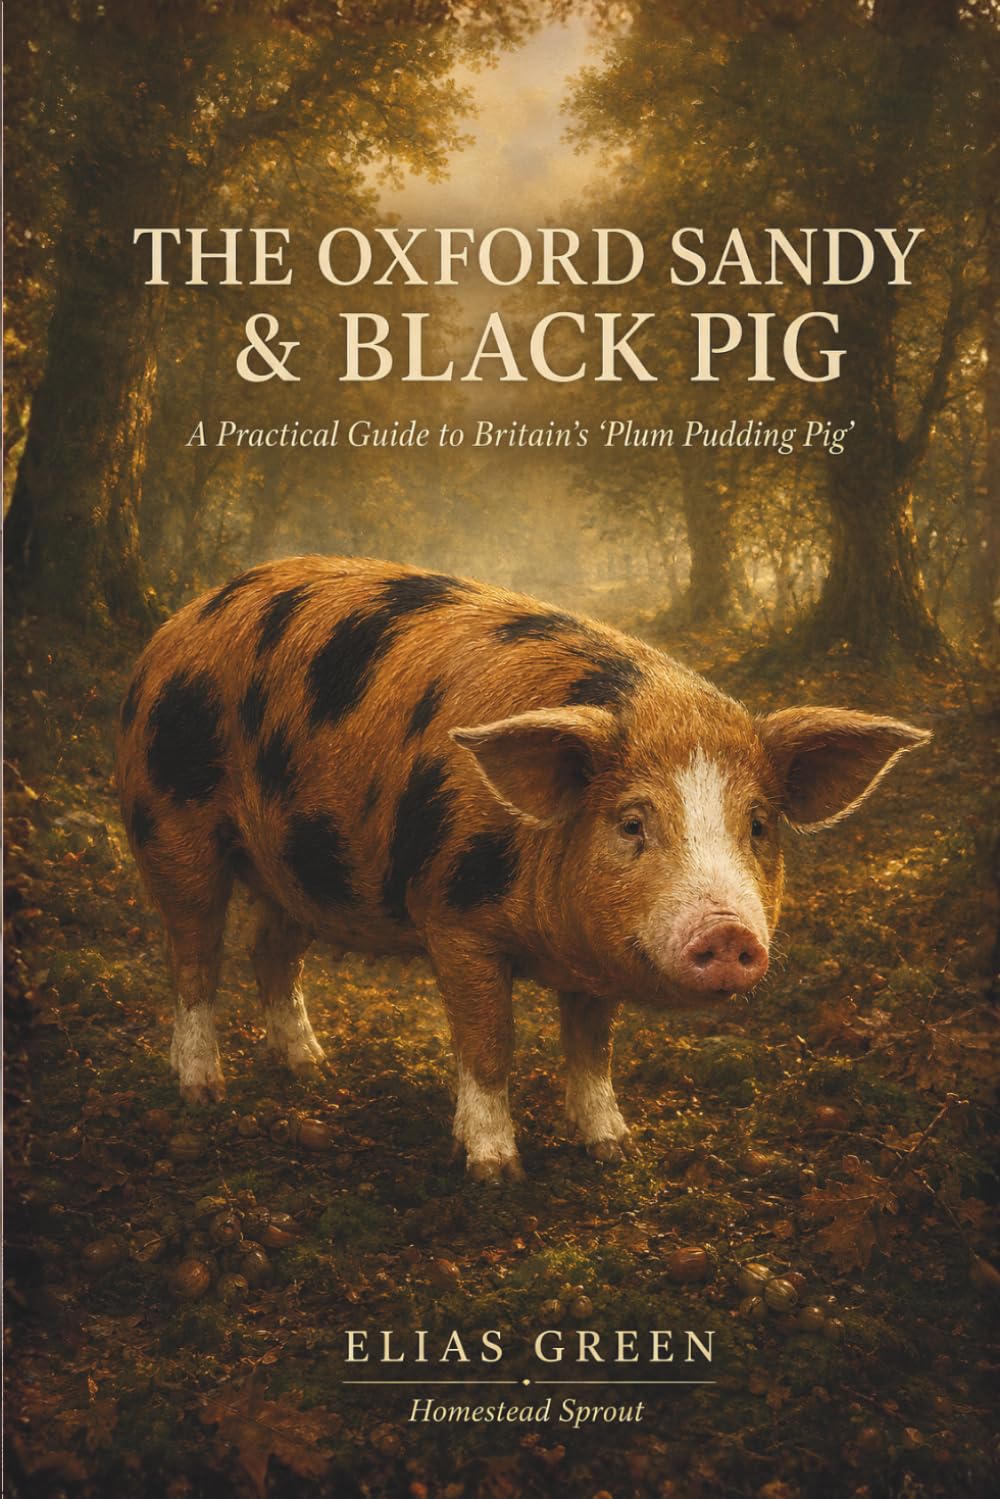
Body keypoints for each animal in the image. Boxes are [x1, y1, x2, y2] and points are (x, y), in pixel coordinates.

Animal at [116, 556, 929, 1182]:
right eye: (631, 822)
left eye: (758, 825)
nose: (728, 932)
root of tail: (177, 623)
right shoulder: (454, 920)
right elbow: (489, 1043)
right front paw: (495, 1170)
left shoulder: (596, 962)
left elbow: (593, 1047)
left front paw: (615, 1148)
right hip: (171, 820)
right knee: (192, 957)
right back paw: (204, 1092)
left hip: (299, 866)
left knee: (270, 950)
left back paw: (313, 1068)